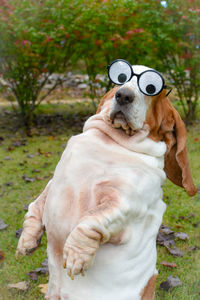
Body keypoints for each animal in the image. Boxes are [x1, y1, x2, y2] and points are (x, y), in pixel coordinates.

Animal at [16, 61, 195, 300]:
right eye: (121, 77)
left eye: (151, 88)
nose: (124, 95)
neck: (113, 142)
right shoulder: (53, 183)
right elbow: (35, 206)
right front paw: (26, 241)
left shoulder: (122, 203)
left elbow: (91, 220)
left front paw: (76, 256)